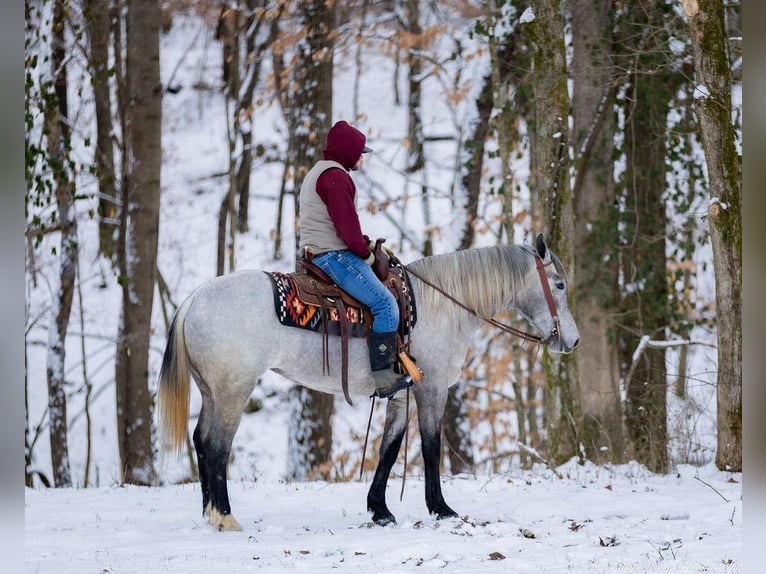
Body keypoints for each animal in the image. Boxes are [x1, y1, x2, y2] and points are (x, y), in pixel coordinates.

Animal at [158, 234, 584, 532]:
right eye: (560, 285)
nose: (574, 341)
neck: (440, 306)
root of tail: (195, 298)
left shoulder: (401, 392)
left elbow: (389, 448)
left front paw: (380, 510)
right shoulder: (432, 389)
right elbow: (431, 447)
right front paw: (442, 509)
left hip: (212, 391)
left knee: (201, 441)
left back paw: (209, 513)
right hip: (234, 390)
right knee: (217, 447)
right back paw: (225, 516)